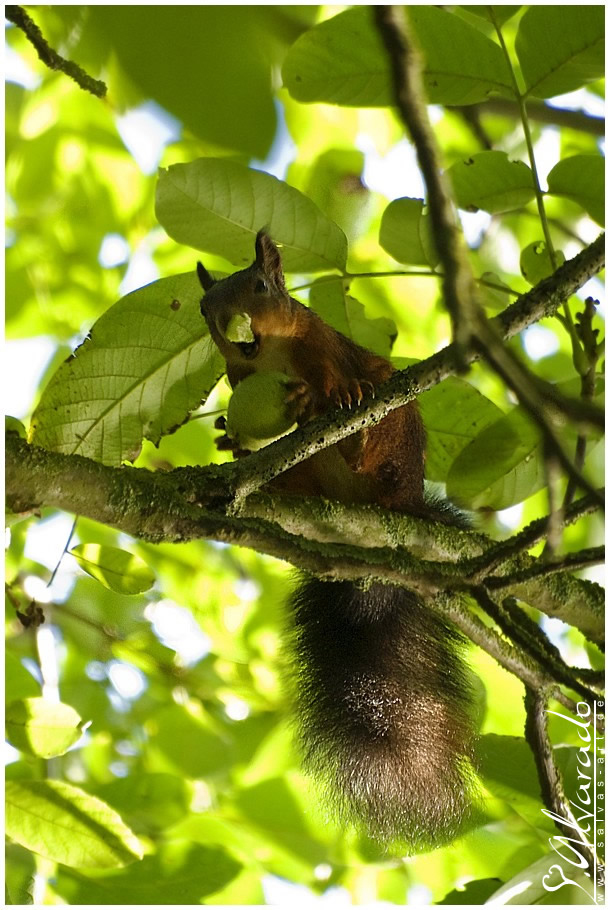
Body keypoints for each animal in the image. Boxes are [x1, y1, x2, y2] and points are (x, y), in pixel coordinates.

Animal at [197, 232, 478, 852]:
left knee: (378, 431)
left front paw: (331, 394)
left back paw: (357, 439)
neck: (268, 357)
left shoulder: (321, 344)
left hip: (397, 439)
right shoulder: (237, 377)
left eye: (260, 286)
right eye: (204, 309)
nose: (231, 323)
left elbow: (332, 371)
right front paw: (238, 435)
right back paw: (263, 470)